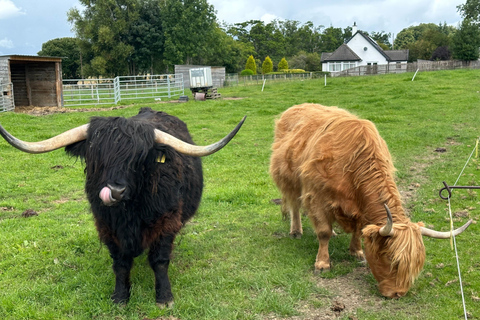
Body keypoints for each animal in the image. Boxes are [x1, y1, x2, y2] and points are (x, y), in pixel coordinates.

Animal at [0, 108, 246, 308]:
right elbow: (120, 264)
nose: (115, 191)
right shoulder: (107, 227)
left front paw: (164, 298)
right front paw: (120, 297)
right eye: (97, 155)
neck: (130, 213)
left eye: (139, 158)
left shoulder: (167, 222)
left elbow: (160, 261)